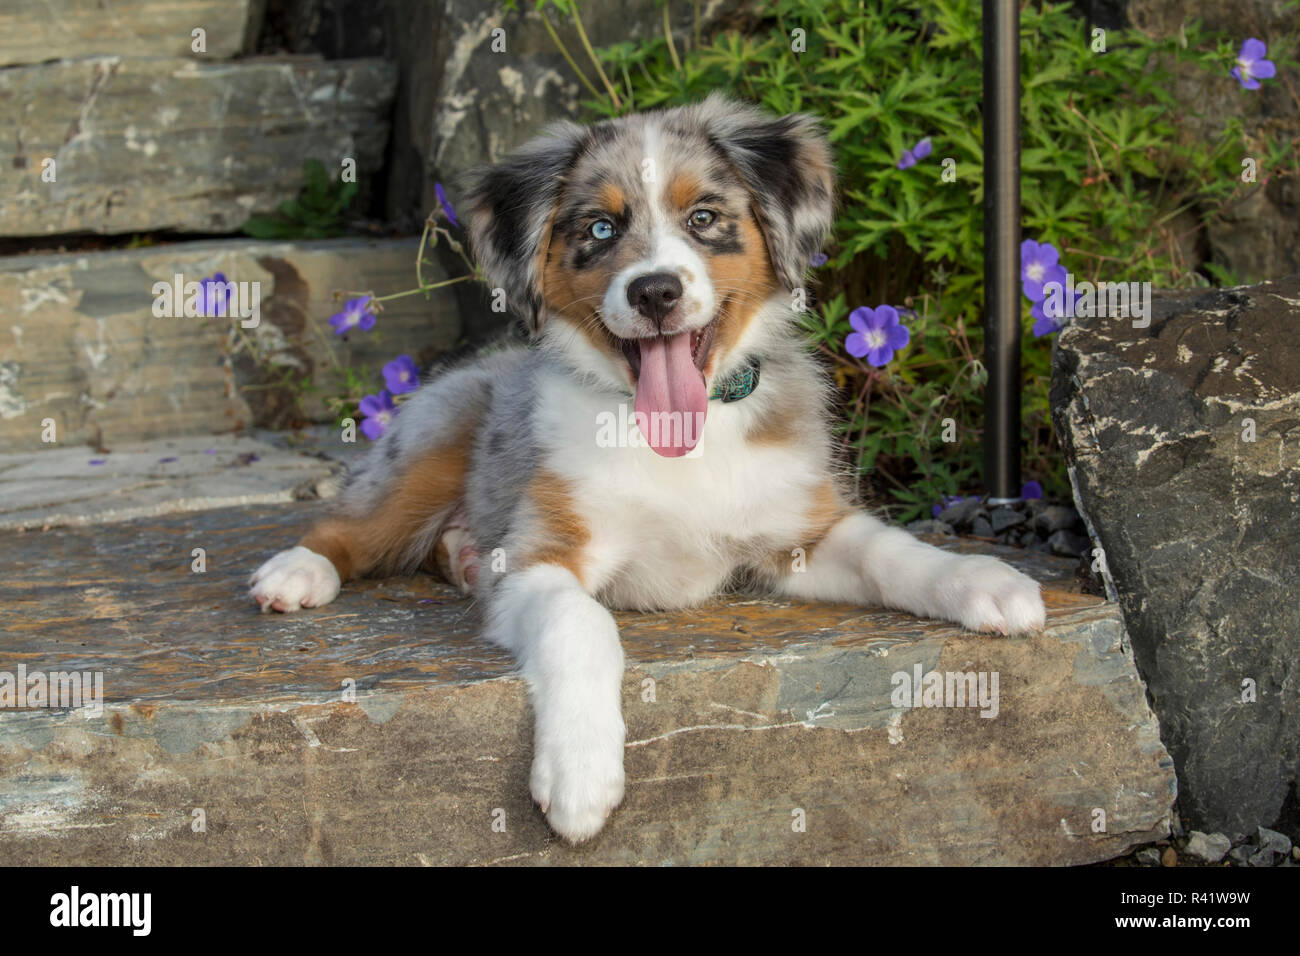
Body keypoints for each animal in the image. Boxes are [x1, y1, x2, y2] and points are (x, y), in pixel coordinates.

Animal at [250, 93, 1045, 842]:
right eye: (600, 230)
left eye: (704, 217)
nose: (655, 291)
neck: (677, 439)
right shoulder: (540, 558)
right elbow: (583, 624)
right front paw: (580, 775)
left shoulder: (800, 530)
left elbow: (891, 550)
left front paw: (984, 580)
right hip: (434, 438)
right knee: (353, 520)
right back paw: (296, 573)